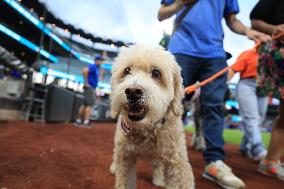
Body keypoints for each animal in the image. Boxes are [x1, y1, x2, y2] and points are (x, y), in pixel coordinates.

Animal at [110, 44, 194, 189]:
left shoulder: (177, 162)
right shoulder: (125, 157)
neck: (147, 128)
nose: (133, 92)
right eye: (127, 71)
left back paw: (159, 179)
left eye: (156, 73)